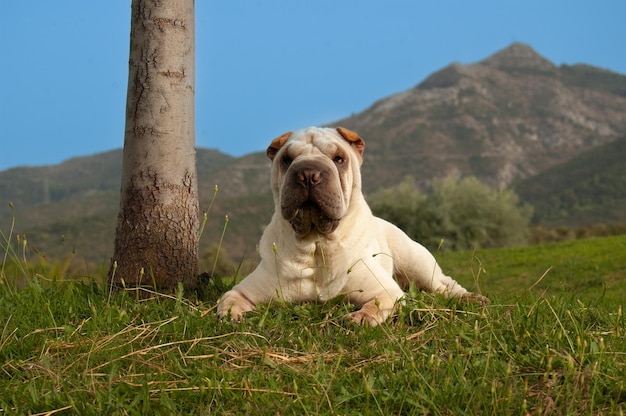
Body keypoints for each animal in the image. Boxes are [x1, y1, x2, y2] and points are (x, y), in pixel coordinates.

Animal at [217, 127, 486, 324]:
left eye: (339, 159)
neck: (316, 244)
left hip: (417, 263)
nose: (308, 173)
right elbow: (229, 300)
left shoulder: (385, 291)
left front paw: (361, 317)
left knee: (443, 285)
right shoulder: (245, 290)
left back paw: (471, 299)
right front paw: (231, 315)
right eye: (286, 160)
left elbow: (375, 304)